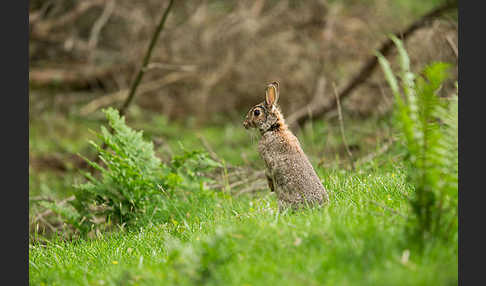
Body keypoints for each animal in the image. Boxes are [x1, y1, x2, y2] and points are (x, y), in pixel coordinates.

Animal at [243, 80, 330, 210]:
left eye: (256, 112)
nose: (244, 124)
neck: (273, 128)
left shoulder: (268, 161)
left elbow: (268, 173)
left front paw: (271, 187)